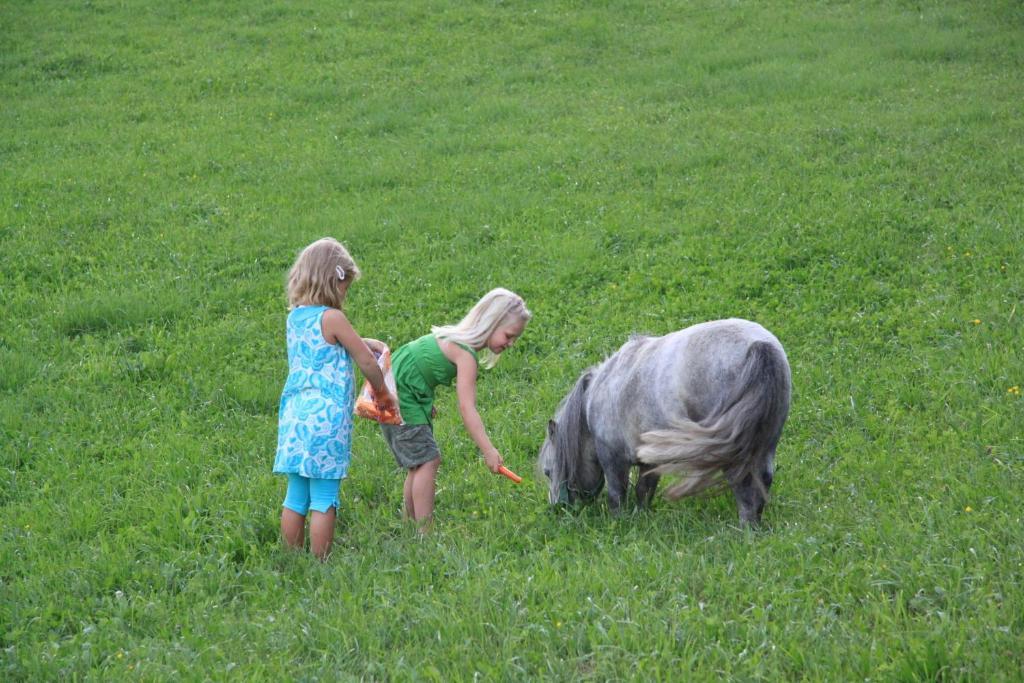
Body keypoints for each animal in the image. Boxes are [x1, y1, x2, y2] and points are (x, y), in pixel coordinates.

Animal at [540, 317, 794, 528]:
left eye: (547, 471)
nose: (557, 508)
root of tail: (759, 346)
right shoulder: (648, 459)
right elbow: (644, 489)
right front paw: (641, 516)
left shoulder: (612, 458)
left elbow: (617, 493)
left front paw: (619, 522)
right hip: (766, 444)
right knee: (763, 479)